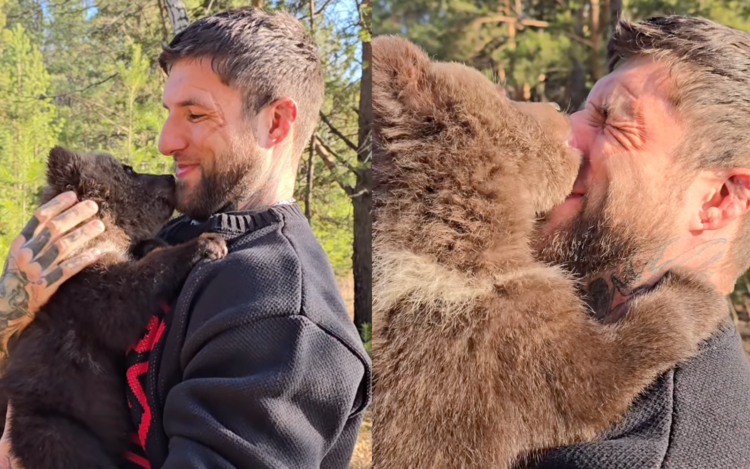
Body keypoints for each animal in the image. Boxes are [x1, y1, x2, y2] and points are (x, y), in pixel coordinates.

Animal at [0, 146, 227, 469]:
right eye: (128, 168)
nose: (169, 176)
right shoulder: (82, 281)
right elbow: (122, 298)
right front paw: (207, 243)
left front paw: (155, 242)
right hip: (51, 422)